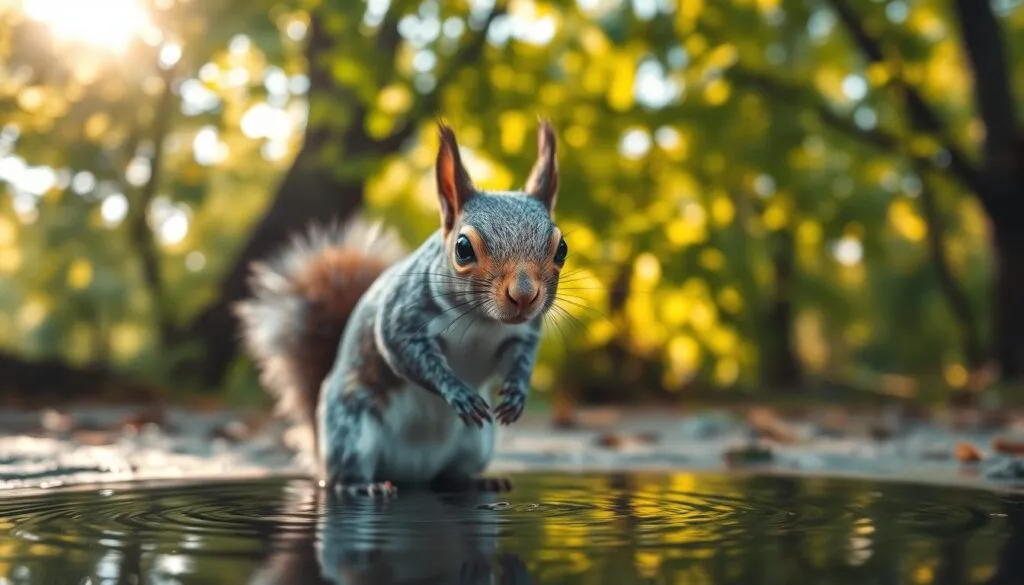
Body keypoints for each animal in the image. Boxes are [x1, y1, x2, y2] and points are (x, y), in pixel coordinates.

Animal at [235, 120, 566, 497]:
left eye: (562, 249)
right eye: (463, 248)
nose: (524, 296)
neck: (483, 321)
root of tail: (411, 474)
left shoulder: (522, 334)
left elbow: (522, 359)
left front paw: (516, 393)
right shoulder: (402, 318)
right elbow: (409, 355)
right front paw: (457, 391)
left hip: (475, 443)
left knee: (450, 476)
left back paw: (478, 480)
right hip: (351, 431)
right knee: (341, 475)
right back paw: (361, 487)